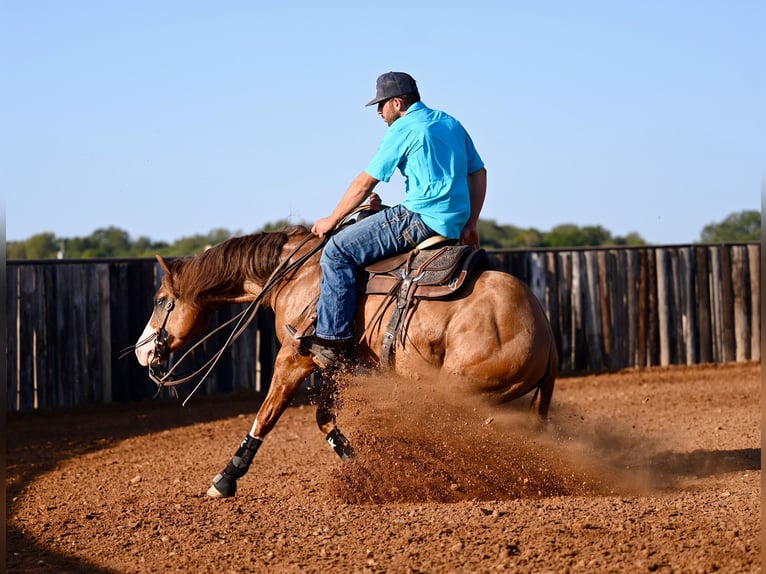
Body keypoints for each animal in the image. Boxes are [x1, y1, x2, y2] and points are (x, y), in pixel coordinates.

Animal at [135, 225, 560, 500]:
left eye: (160, 300)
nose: (141, 352)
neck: (297, 275)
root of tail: (545, 331)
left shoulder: (294, 357)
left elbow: (266, 416)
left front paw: (226, 478)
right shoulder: (335, 366)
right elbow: (324, 419)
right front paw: (359, 465)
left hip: (460, 391)